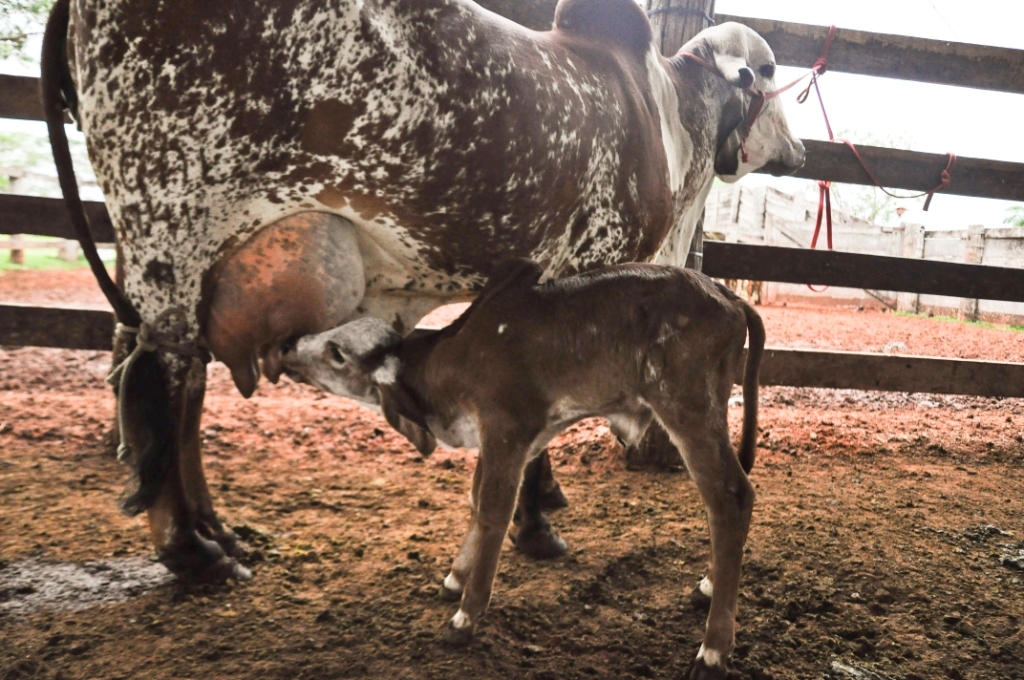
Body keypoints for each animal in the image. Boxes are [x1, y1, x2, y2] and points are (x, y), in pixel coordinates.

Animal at [44, 0, 802, 585]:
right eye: (768, 73)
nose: (798, 152)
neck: (669, 119)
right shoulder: (588, 265)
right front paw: (536, 526)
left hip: (192, 265)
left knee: (179, 386)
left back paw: (216, 532)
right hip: (174, 232)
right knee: (155, 380)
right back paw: (193, 552)